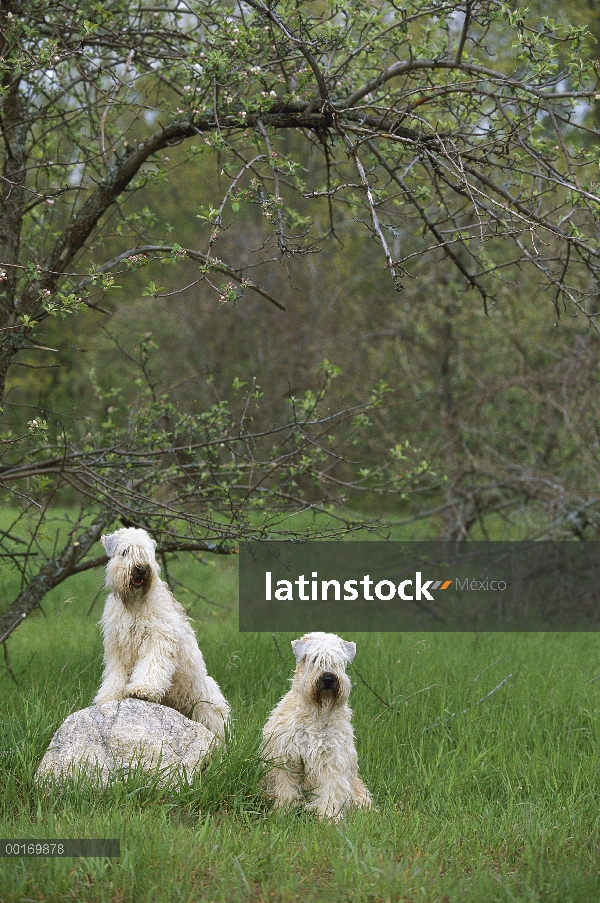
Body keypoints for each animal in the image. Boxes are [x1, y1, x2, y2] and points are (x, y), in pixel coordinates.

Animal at [93, 528, 230, 740]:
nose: (140, 568)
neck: (135, 605)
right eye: (125, 551)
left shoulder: (157, 639)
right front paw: (109, 697)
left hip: (207, 706)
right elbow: (115, 675)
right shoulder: (117, 646)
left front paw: (142, 689)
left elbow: (151, 666)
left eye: (147, 553)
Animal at [262, 636, 370, 820]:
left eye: (338, 661)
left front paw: (327, 818)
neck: (316, 714)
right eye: (314, 659)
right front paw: (284, 812)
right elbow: (286, 788)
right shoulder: (286, 758)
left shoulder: (331, 760)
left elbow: (330, 790)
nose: (328, 679)